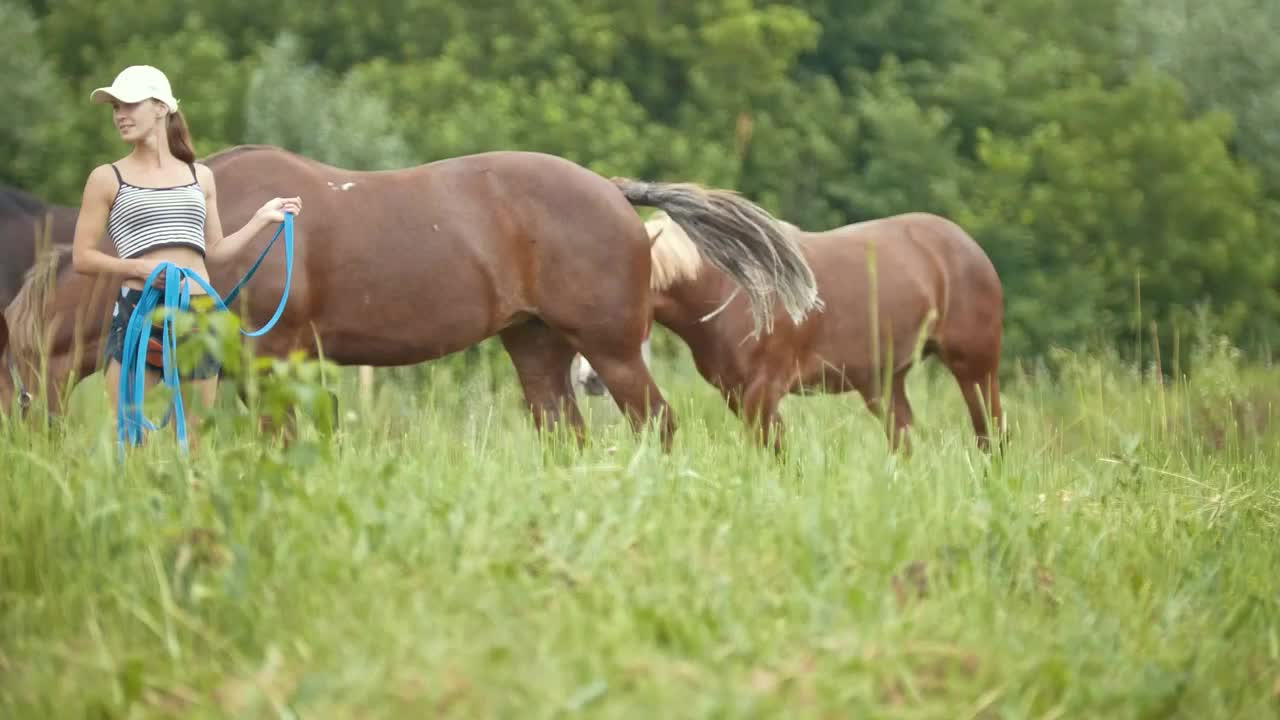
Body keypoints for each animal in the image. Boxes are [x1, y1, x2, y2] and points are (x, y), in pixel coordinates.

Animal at [0, 142, 819, 445]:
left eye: (12, 363)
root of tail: (615, 192)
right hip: (537, 349)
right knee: (564, 432)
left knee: (658, 425)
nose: (24, 437)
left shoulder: (276, 358)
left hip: (612, 352)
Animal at [576, 210, 1003, 450]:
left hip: (975, 369)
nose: (590, 378)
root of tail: (966, 245)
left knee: (991, 432)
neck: (730, 287)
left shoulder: (763, 389)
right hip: (883, 384)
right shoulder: (738, 393)